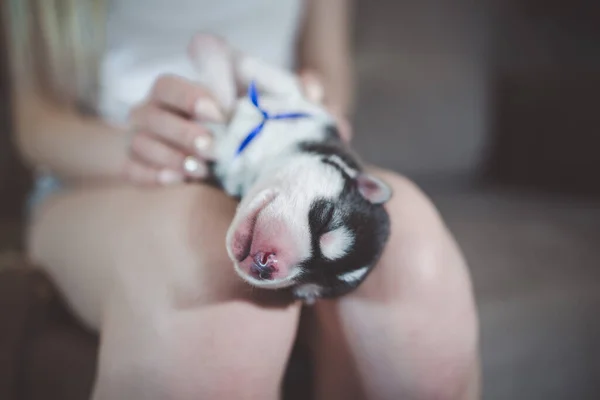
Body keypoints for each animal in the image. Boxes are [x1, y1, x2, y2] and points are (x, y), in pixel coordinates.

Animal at [188, 34, 394, 304]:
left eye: (305, 286)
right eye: (326, 220)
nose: (266, 265)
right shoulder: (304, 103)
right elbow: (260, 74)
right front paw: (209, 47)